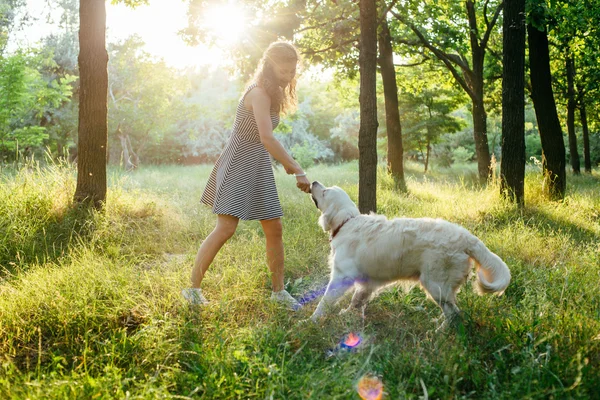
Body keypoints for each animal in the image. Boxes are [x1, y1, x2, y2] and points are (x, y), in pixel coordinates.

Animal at [310, 183, 510, 324]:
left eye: (325, 191)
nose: (313, 182)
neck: (347, 222)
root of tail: (467, 237)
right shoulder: (367, 283)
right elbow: (356, 301)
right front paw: (348, 314)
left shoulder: (341, 277)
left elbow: (324, 302)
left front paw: (311, 320)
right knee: (451, 310)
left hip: (435, 284)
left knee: (454, 313)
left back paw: (439, 332)